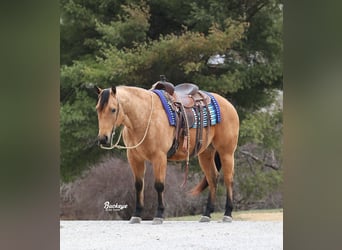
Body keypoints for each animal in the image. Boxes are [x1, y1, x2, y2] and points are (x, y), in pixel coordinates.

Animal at [93, 81, 238, 224]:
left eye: (113, 109)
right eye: (98, 109)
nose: (103, 138)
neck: (145, 117)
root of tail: (228, 104)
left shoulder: (159, 157)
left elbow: (159, 185)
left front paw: (159, 214)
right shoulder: (134, 158)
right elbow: (139, 185)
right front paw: (136, 215)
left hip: (226, 153)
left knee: (228, 179)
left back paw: (228, 213)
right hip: (206, 153)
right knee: (212, 178)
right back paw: (207, 214)